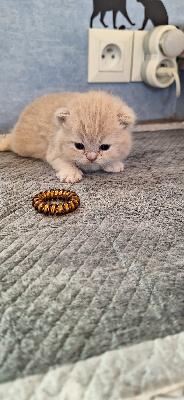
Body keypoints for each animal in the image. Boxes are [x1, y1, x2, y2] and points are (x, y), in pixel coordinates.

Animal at [0, 90, 135, 183]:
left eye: (104, 147)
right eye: (79, 146)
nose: (91, 158)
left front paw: (113, 163)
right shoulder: (53, 151)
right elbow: (63, 161)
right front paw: (71, 173)